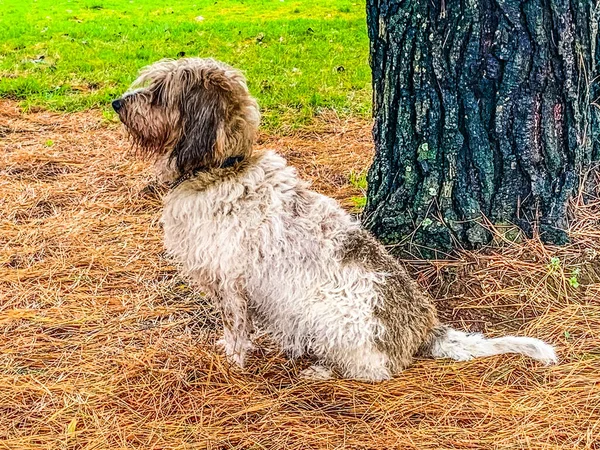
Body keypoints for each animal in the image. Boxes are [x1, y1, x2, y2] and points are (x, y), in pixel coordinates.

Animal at [112, 56, 556, 380]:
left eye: (158, 93)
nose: (117, 102)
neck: (222, 169)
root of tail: (426, 331)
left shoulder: (231, 283)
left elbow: (236, 328)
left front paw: (231, 361)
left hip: (327, 318)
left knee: (374, 371)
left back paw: (321, 370)